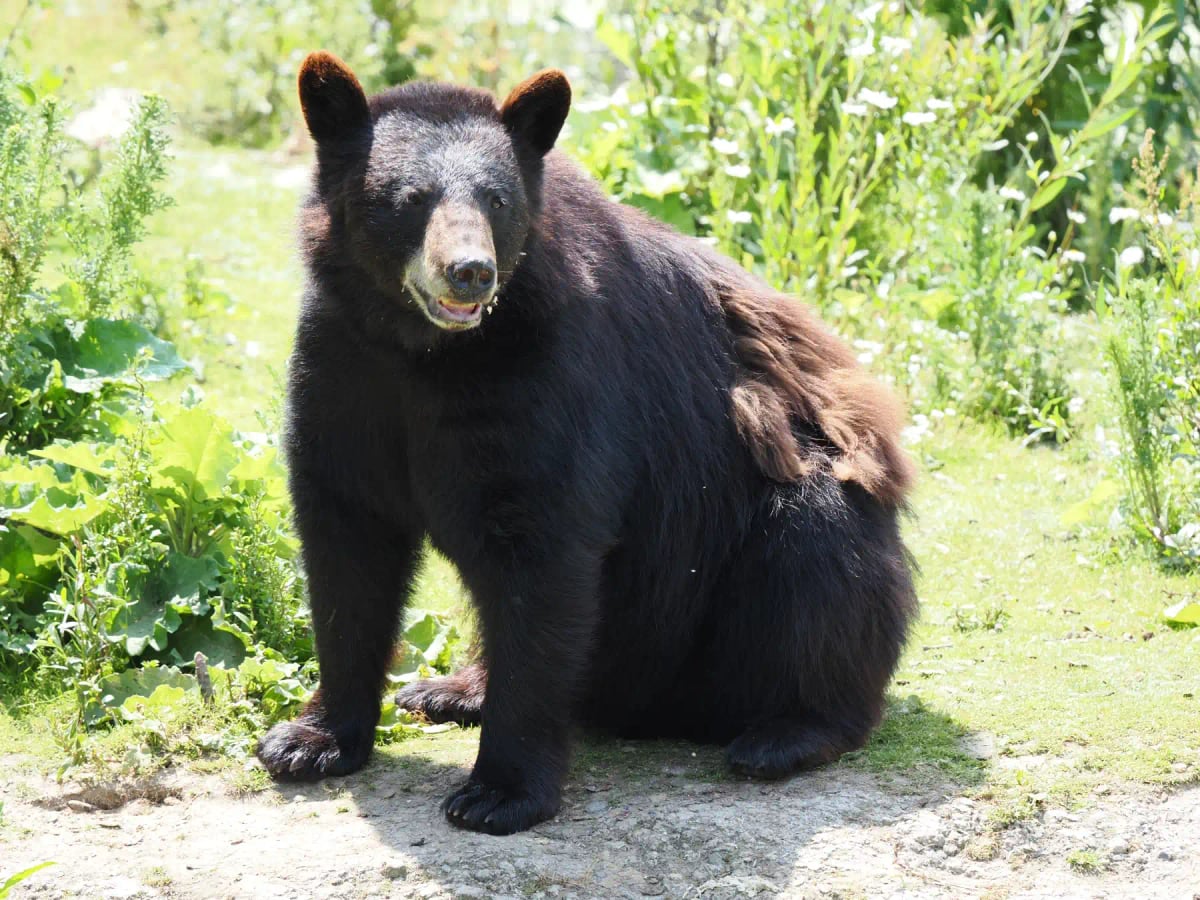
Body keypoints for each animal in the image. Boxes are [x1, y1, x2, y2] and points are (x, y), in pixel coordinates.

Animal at [256, 51, 918, 837]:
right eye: (410, 198)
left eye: (497, 200)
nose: (470, 271)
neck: (423, 351)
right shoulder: (342, 364)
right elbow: (346, 542)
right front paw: (308, 741)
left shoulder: (552, 372)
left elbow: (544, 545)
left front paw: (498, 793)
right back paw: (450, 689)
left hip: (787, 519)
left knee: (817, 565)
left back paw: (784, 734)